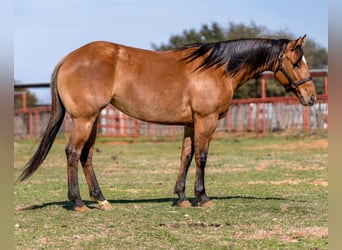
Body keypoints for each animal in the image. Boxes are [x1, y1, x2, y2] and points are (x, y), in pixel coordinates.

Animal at [18, 35, 316, 211]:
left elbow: (186, 156)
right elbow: (202, 157)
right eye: (296, 62)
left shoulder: (191, 123)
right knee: (73, 153)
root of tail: (68, 59)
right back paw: (78, 201)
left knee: (86, 156)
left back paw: (101, 199)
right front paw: (203, 197)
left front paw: (182, 197)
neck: (216, 68)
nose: (311, 97)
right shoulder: (206, 120)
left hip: (93, 120)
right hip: (84, 118)